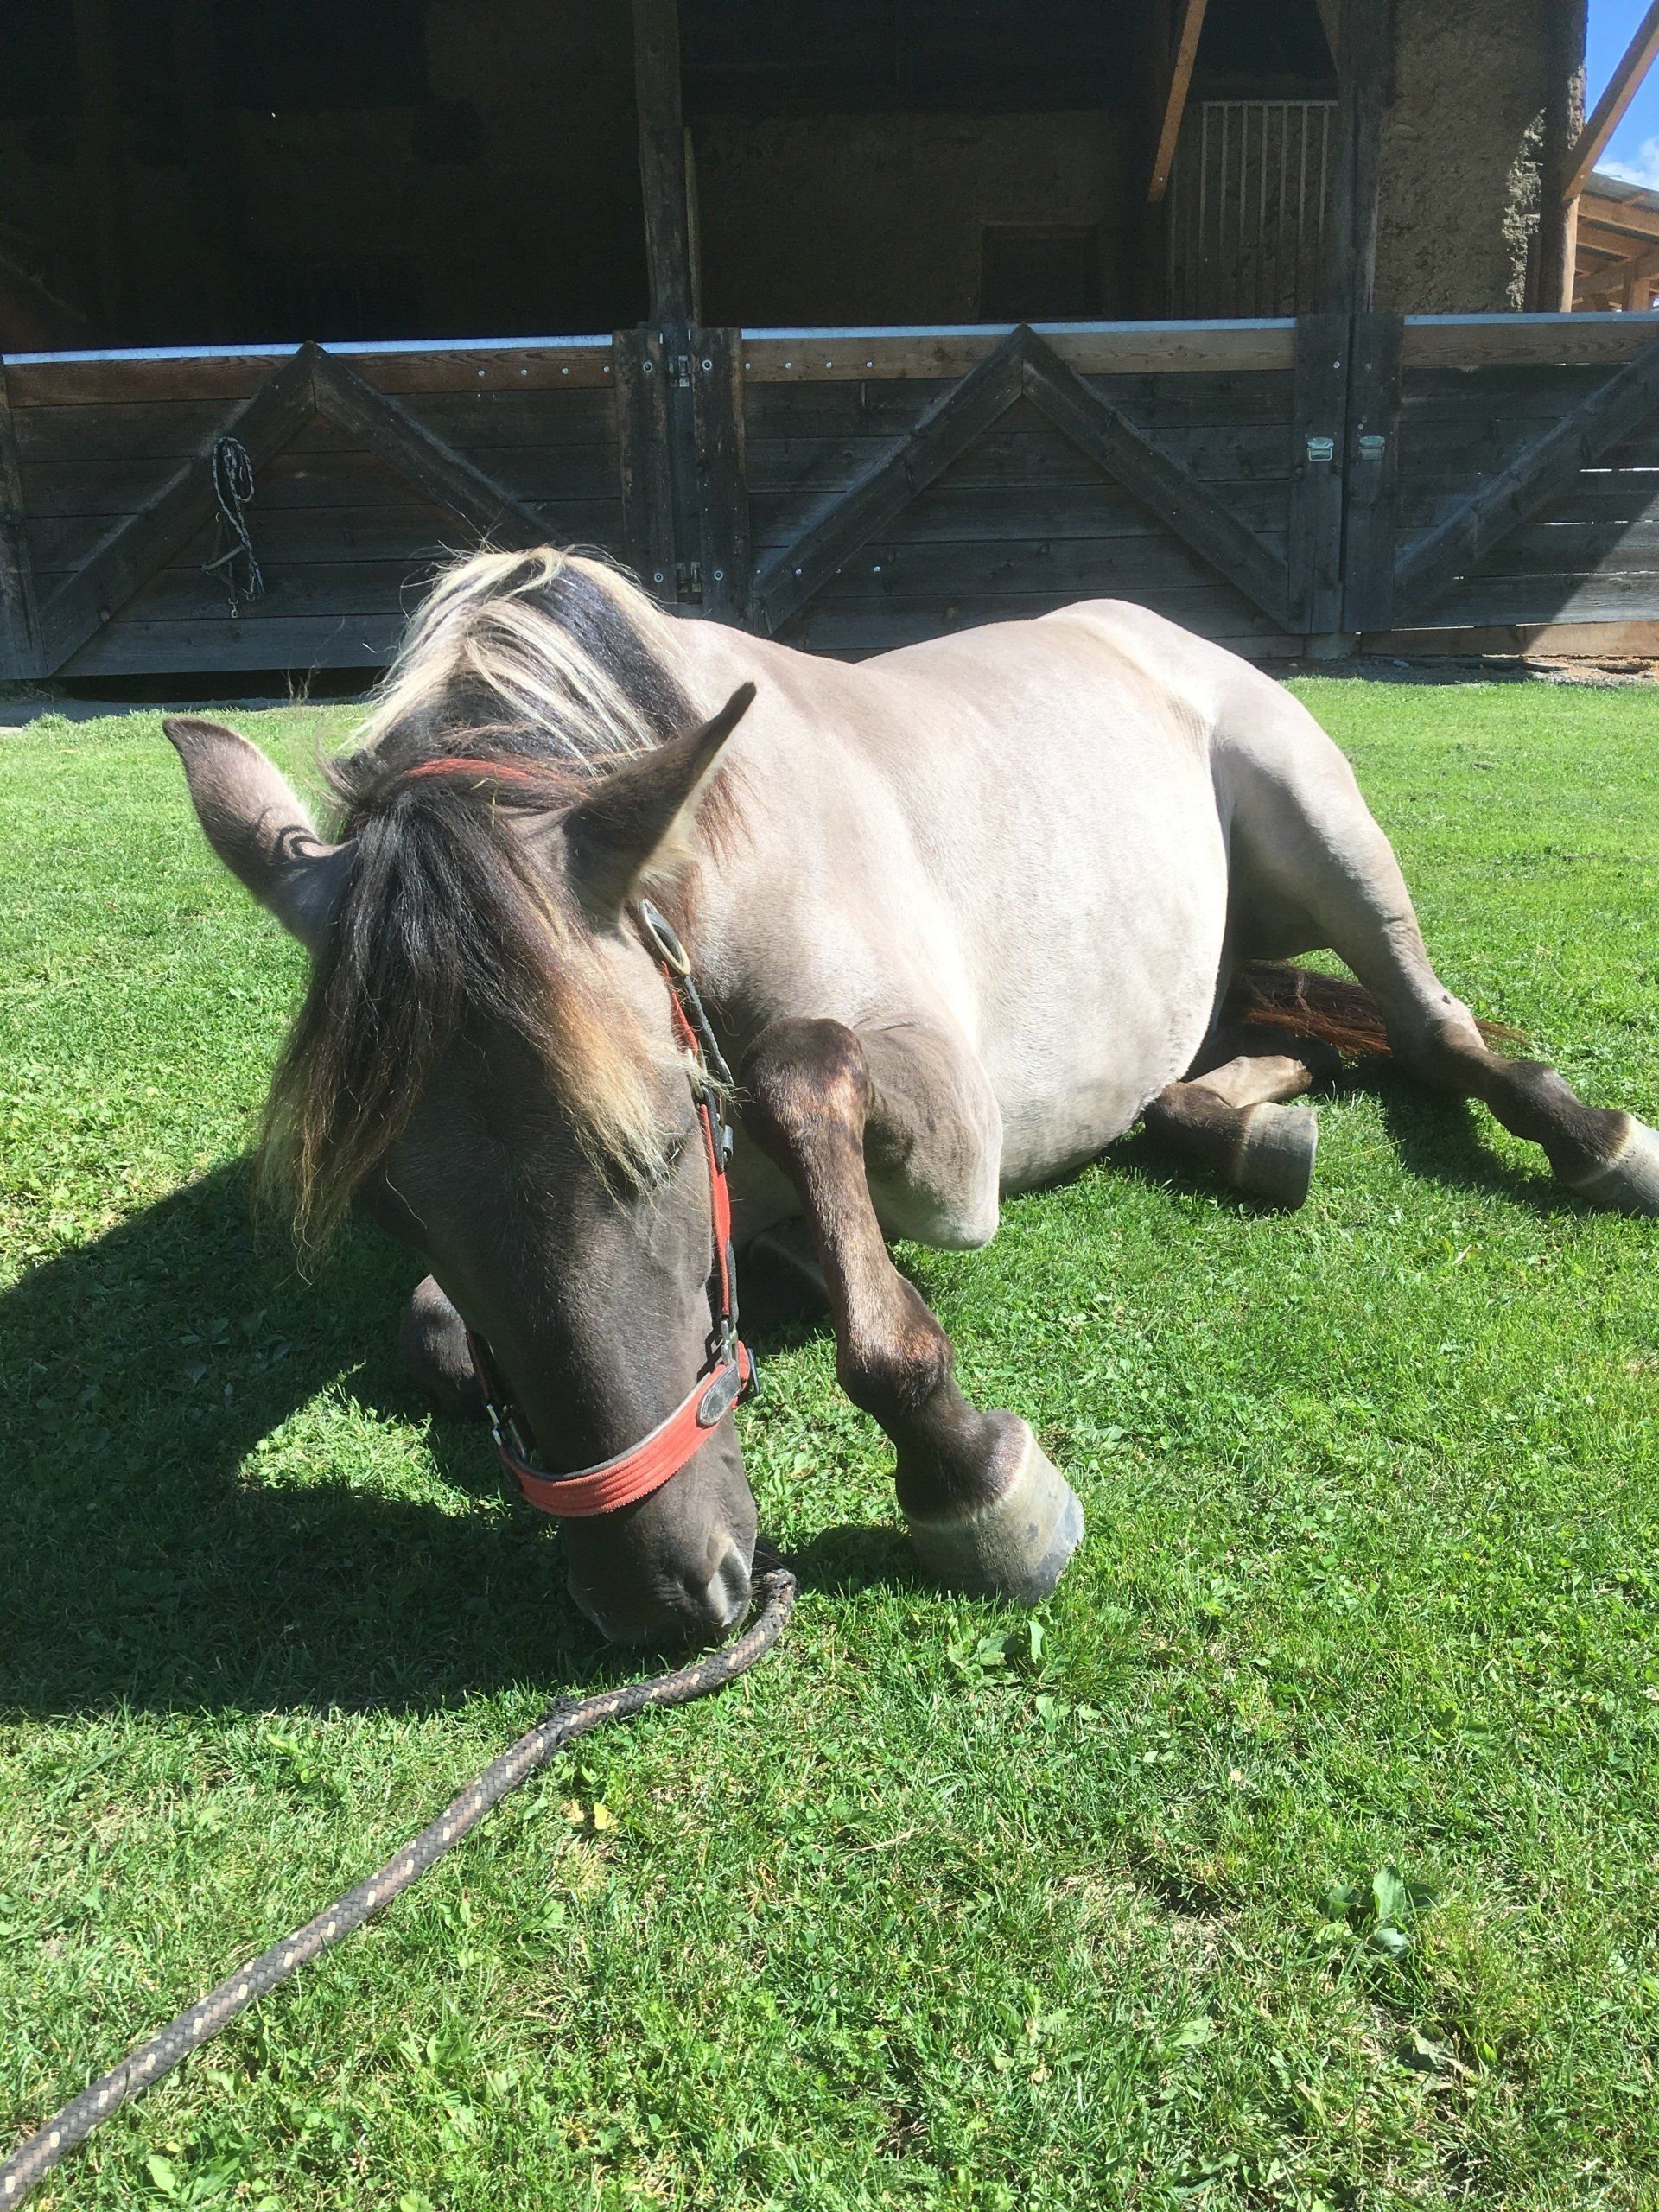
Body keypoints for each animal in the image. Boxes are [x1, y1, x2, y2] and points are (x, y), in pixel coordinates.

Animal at [165, 547, 1659, 1646]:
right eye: (392, 1208)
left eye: (662, 1148)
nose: (665, 1597)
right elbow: (437, 1333)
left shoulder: (951, 1130)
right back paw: (1249, 1130)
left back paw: (1589, 1137)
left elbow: (793, 1082)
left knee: (1433, 1027)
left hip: (1327, 832)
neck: (720, 850)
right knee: (1269, 1043)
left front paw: (965, 1467)